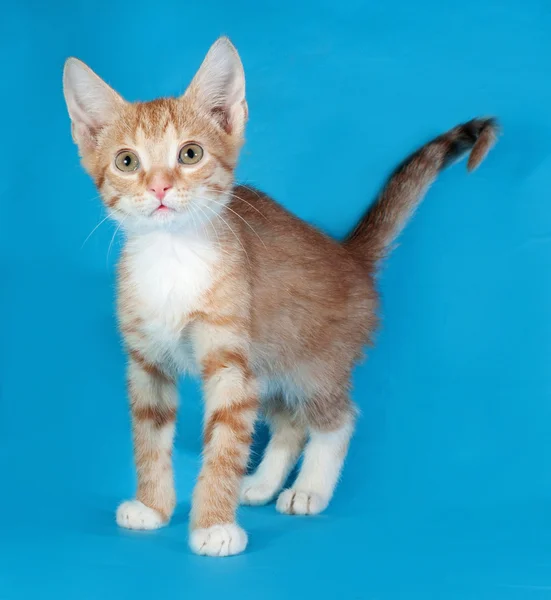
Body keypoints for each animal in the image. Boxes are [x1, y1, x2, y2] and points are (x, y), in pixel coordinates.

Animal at [62, 35, 498, 556]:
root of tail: (348, 254)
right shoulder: (147, 363)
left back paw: (308, 489)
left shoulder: (231, 366)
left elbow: (225, 444)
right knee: (289, 422)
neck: (173, 258)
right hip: (271, 357)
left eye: (190, 154)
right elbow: (149, 438)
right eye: (126, 162)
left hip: (314, 362)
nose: (160, 187)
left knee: (337, 419)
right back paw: (263, 484)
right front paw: (152, 506)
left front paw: (213, 525)